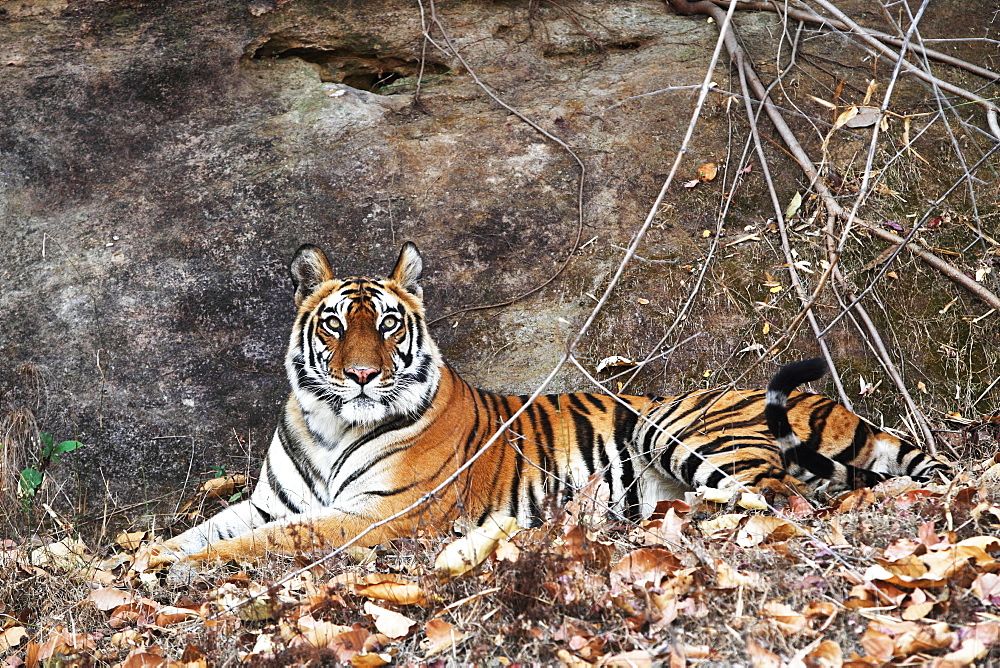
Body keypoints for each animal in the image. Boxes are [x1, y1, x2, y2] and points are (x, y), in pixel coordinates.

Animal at [139, 243, 944, 568]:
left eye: (390, 325)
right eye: (335, 325)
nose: (363, 375)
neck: (331, 423)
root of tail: (823, 404)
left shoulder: (376, 513)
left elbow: (272, 542)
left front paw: (183, 570)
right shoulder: (267, 500)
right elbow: (208, 529)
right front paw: (145, 561)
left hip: (683, 430)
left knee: (779, 503)